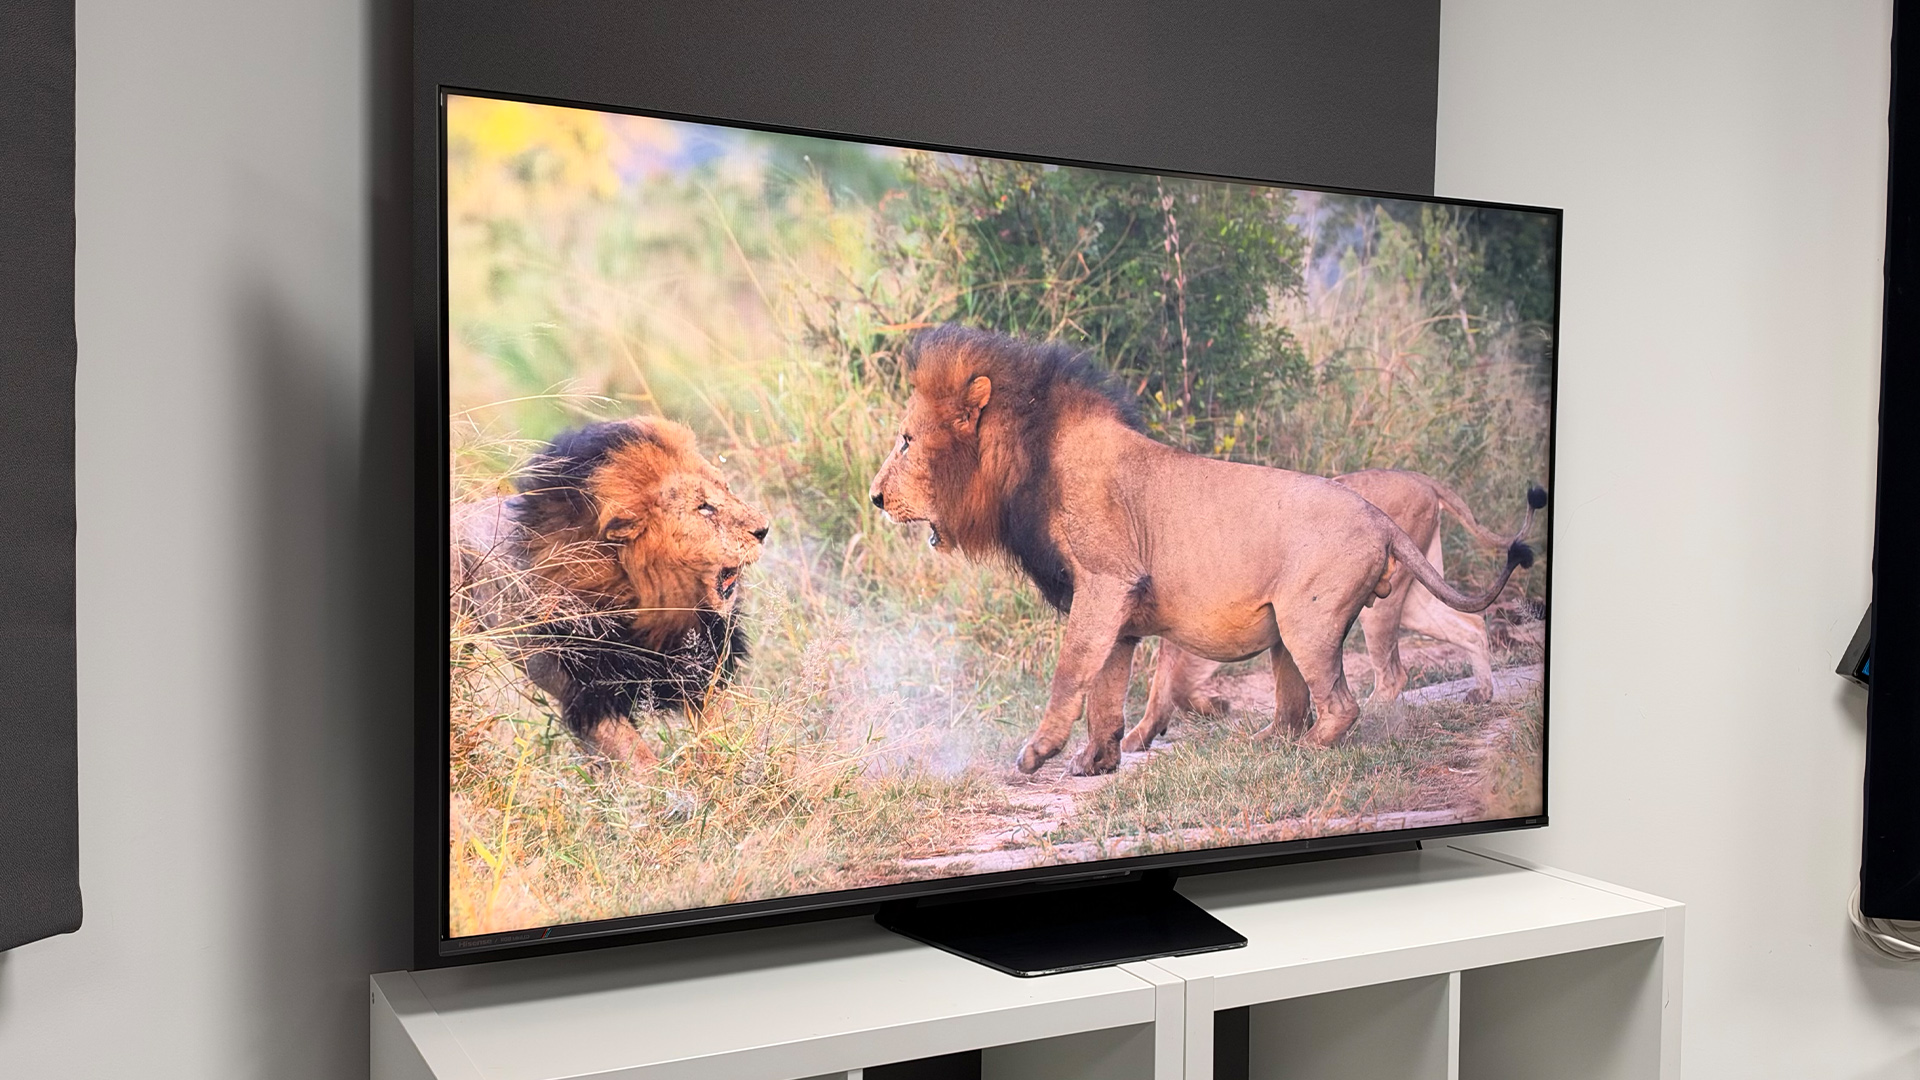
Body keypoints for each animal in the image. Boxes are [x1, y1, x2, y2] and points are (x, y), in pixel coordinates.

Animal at [454, 417, 770, 766]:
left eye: (726, 488)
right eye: (703, 508)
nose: (764, 529)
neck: (649, 600)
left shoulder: (702, 669)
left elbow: (726, 730)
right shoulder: (591, 695)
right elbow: (638, 760)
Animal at [1122, 469, 1532, 754]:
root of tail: (1419, 478)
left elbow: (1172, 685)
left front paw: (1206, 710)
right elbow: (1165, 684)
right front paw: (1142, 735)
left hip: (1378, 607)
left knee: (1392, 675)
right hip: (1416, 597)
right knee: (1470, 623)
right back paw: (1481, 691)